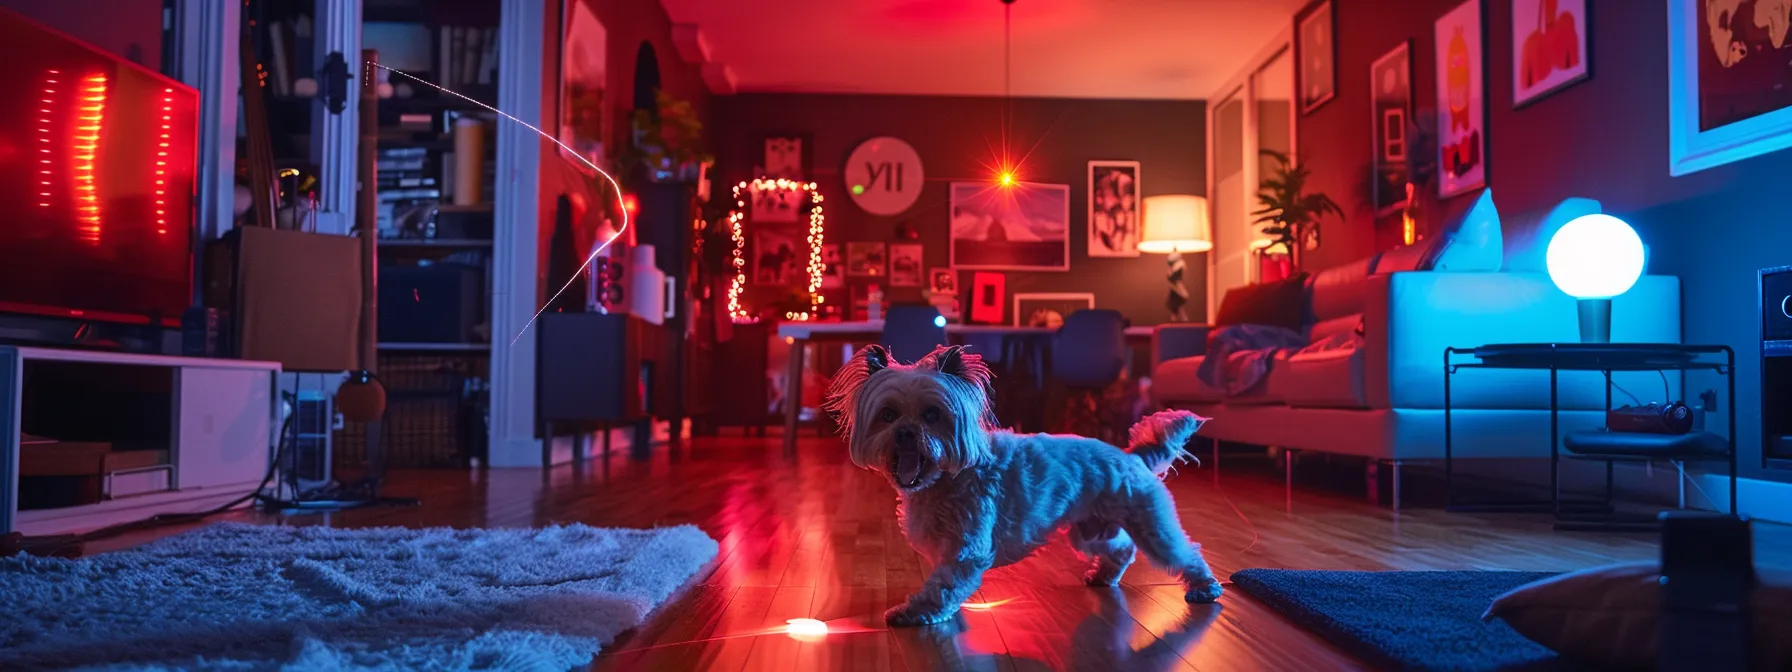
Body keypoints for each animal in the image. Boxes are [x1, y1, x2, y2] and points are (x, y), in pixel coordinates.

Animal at [820, 344, 1218, 630]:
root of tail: (1132, 456)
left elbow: (943, 584)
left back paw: (1205, 588)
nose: (905, 433)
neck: (947, 478)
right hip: (1090, 531)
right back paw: (1104, 576)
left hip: (1152, 527)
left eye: (932, 415)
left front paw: (917, 611)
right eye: (887, 415)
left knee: (1185, 553)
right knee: (1120, 550)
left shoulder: (967, 549)